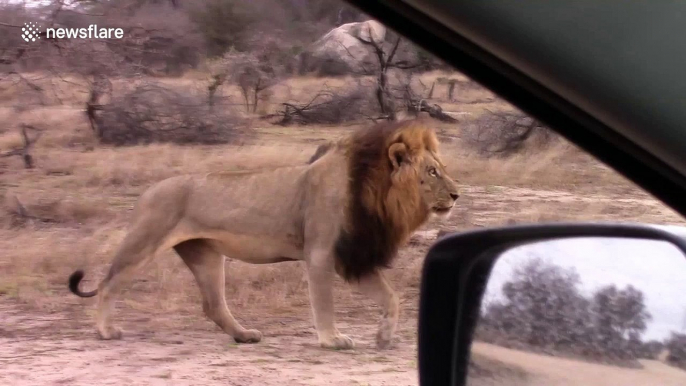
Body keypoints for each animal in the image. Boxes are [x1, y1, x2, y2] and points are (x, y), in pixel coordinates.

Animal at [68, 117, 462, 350]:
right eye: (432, 172)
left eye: (441, 168)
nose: (457, 195)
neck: (377, 193)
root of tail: (148, 191)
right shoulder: (321, 254)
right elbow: (324, 303)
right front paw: (332, 339)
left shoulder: (351, 256)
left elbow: (392, 298)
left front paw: (383, 337)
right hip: (144, 243)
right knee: (108, 284)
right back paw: (106, 331)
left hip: (205, 254)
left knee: (213, 304)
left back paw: (244, 335)